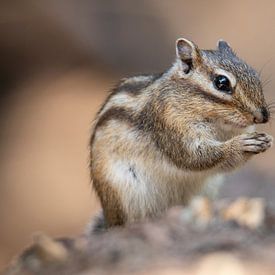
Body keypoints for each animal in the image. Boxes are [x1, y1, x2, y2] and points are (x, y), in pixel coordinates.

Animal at [90, 37, 274, 230]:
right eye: (222, 82)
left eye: (254, 73)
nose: (263, 116)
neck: (220, 124)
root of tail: (110, 219)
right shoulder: (169, 122)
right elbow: (193, 156)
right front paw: (240, 144)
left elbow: (225, 165)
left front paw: (267, 140)